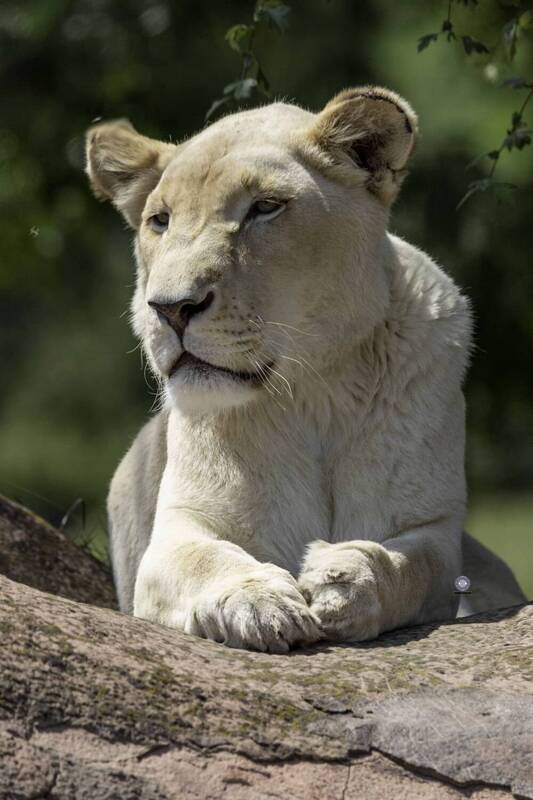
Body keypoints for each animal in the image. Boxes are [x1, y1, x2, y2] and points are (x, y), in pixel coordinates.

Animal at [85, 86, 525, 652]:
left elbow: (410, 565)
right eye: (160, 220)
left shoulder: (435, 528)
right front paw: (257, 602)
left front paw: (344, 581)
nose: (171, 309)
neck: (314, 391)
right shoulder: (179, 529)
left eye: (265, 208)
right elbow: (207, 560)